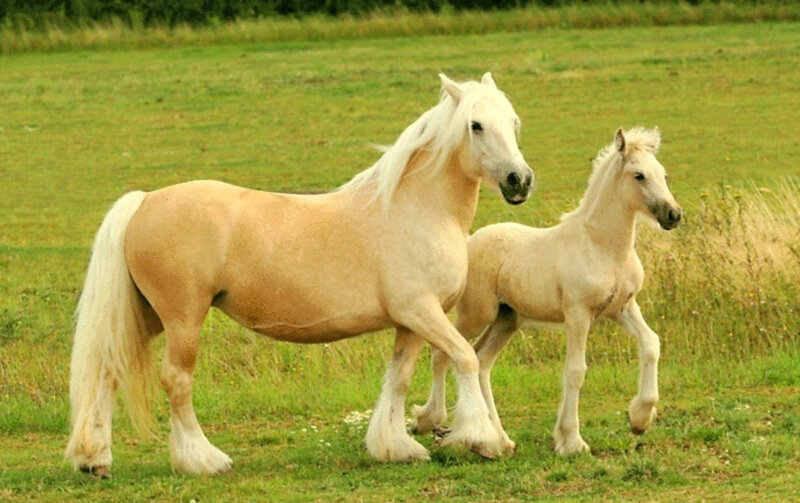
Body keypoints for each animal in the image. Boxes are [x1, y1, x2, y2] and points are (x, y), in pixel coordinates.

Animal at [65, 73, 534, 477]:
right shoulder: (422, 312)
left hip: (145, 315)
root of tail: (144, 201)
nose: (520, 180)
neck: (417, 209)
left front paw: (396, 447)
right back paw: (204, 460)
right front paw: (483, 440)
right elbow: (465, 358)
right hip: (183, 318)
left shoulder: (411, 322)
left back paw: (95, 459)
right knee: (176, 381)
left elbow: (398, 380)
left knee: (108, 369)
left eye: (513, 121)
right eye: (475, 125)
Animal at [413, 127, 681, 456]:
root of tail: (470, 240)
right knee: (443, 354)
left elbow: (651, 343)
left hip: (506, 321)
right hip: (477, 315)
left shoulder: (623, 308)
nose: (673, 215)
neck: (602, 247)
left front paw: (640, 418)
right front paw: (572, 441)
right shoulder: (578, 315)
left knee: (482, 362)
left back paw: (500, 441)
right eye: (639, 175)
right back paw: (429, 420)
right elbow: (576, 371)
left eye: (663, 174)